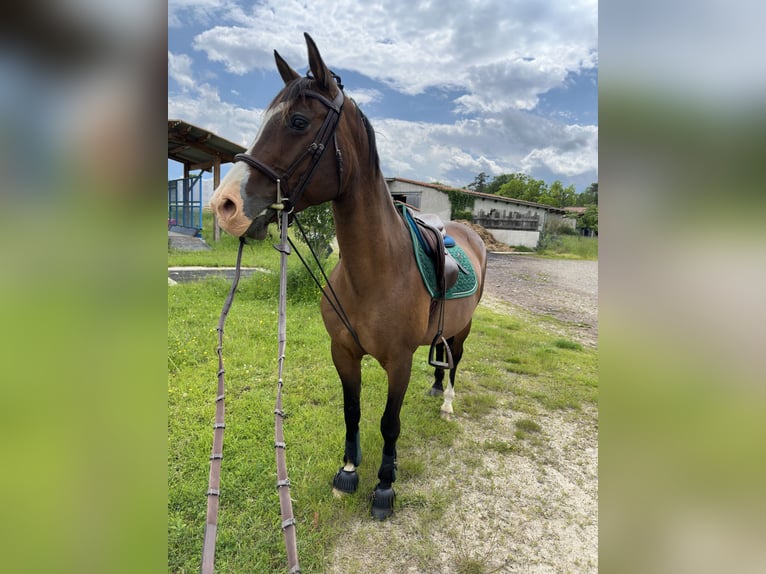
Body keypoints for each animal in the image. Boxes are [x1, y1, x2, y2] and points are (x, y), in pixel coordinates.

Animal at [209, 33, 487, 520]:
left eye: (298, 121)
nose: (225, 205)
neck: (374, 272)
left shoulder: (399, 361)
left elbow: (389, 423)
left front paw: (384, 485)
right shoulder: (343, 352)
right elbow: (352, 412)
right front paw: (349, 472)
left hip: (464, 327)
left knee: (454, 358)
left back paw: (448, 401)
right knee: (441, 355)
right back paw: (436, 391)